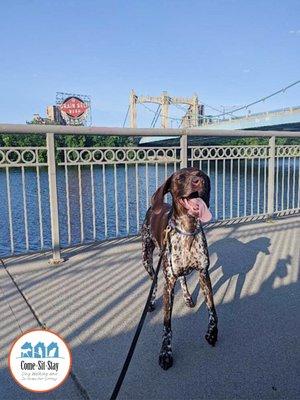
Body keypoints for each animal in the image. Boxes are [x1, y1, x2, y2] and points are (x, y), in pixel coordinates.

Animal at [141, 166, 218, 368]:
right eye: (180, 177)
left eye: (201, 174)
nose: (200, 182)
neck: (188, 230)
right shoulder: (168, 284)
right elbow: (167, 324)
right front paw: (165, 353)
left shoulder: (203, 273)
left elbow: (212, 310)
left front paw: (212, 333)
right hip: (147, 258)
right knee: (154, 280)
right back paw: (151, 303)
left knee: (182, 277)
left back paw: (188, 297)